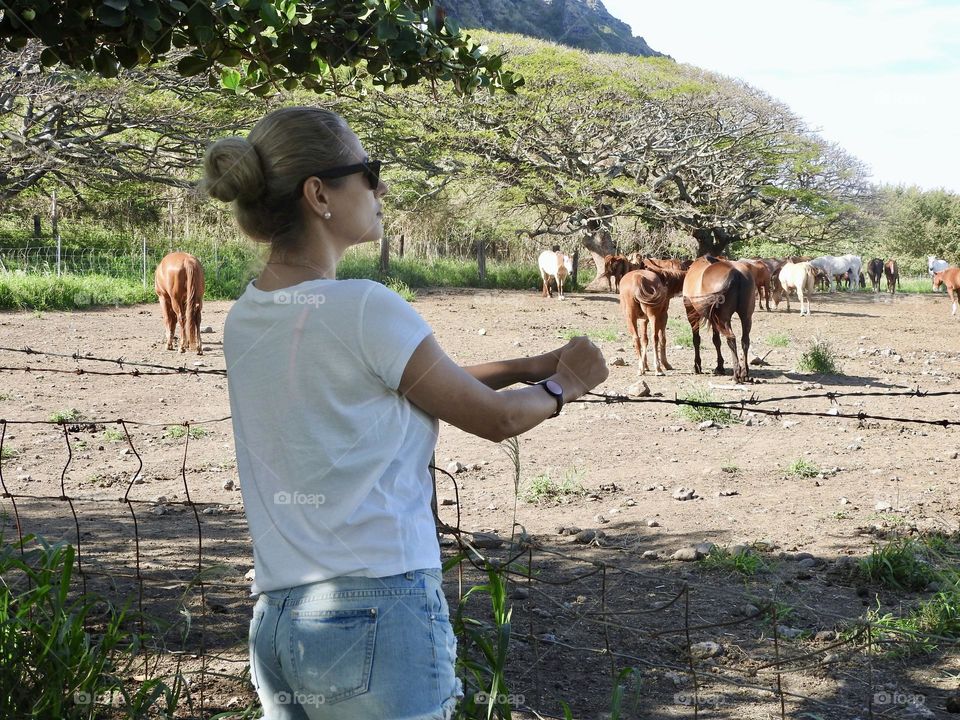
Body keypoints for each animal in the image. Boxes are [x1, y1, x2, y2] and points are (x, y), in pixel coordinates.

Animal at [680, 258, 752, 386]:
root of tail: (736, 273)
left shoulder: (691, 313)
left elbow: (696, 340)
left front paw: (697, 365)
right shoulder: (713, 319)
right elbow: (716, 340)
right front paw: (720, 366)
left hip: (723, 318)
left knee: (731, 339)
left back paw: (736, 374)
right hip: (746, 316)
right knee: (745, 340)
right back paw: (745, 373)